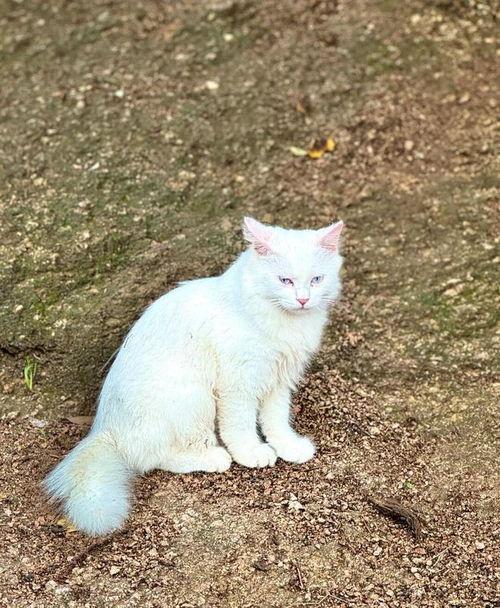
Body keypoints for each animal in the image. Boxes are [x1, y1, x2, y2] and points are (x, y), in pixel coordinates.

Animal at [44, 216, 344, 535]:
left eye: (316, 280)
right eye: (285, 280)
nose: (303, 300)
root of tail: (105, 431)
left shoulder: (278, 380)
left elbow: (276, 421)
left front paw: (289, 447)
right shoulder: (239, 383)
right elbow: (240, 426)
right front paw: (251, 453)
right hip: (195, 399)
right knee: (156, 458)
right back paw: (214, 458)